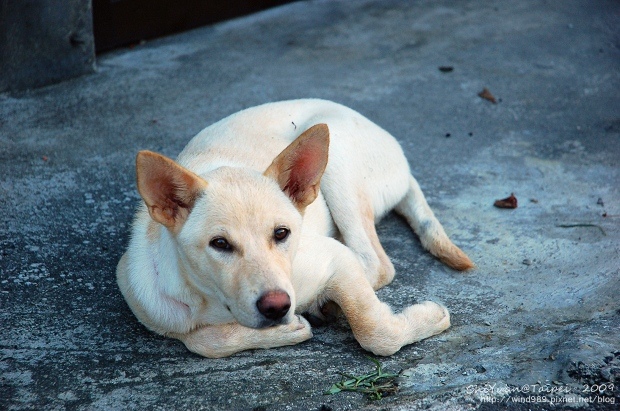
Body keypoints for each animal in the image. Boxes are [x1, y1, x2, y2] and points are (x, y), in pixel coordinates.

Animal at [117, 99, 474, 358]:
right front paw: (282, 331)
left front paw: (427, 317)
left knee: (376, 262)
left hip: (339, 162)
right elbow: (201, 342)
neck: (217, 306)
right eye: (219, 244)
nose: (277, 308)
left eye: (282, 233)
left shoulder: (332, 258)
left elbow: (376, 331)